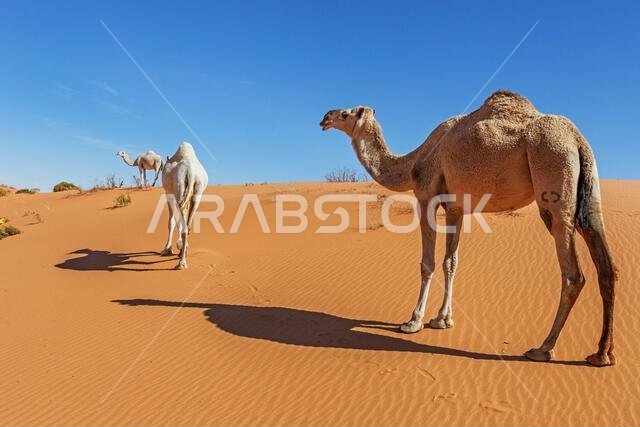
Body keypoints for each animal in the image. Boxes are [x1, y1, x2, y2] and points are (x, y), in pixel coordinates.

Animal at [160, 141, 208, 270]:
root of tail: (190, 171)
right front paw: (181, 247)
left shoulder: (169, 193)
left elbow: (171, 222)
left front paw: (167, 249)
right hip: (197, 193)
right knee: (188, 225)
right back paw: (183, 255)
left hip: (179, 187)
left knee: (184, 227)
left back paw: (182, 263)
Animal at [320, 90, 617, 366]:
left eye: (346, 113)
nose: (325, 117)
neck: (411, 163)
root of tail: (577, 139)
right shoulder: (456, 210)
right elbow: (451, 262)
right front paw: (443, 319)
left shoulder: (426, 197)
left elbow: (428, 263)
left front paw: (413, 321)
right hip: (589, 192)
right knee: (606, 266)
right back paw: (602, 354)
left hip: (553, 175)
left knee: (573, 274)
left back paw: (543, 348)